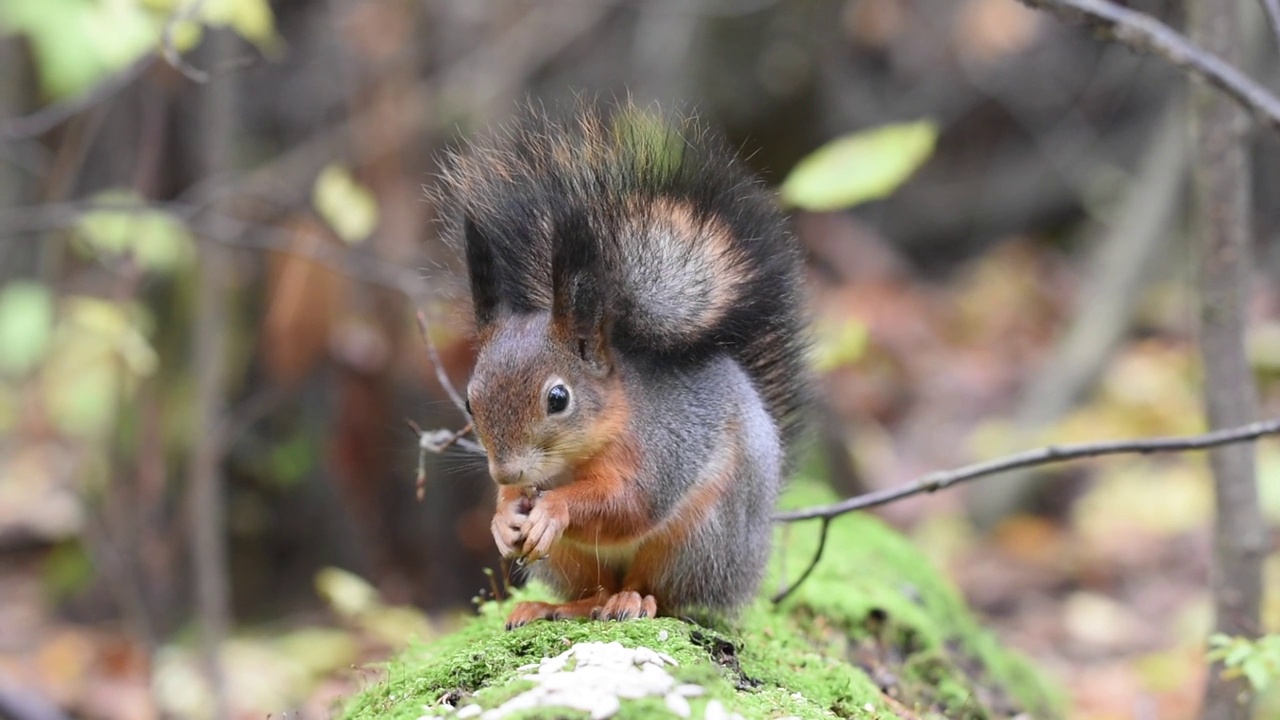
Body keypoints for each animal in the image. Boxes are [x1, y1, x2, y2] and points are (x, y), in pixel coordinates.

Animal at [435, 102, 803, 627]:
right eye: (470, 401)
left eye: (558, 398)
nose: (506, 474)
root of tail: (748, 568)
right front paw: (504, 519)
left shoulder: (661, 450)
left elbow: (627, 504)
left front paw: (554, 509)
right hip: (571, 559)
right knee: (593, 591)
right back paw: (551, 606)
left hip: (699, 539)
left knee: (665, 594)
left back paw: (634, 601)